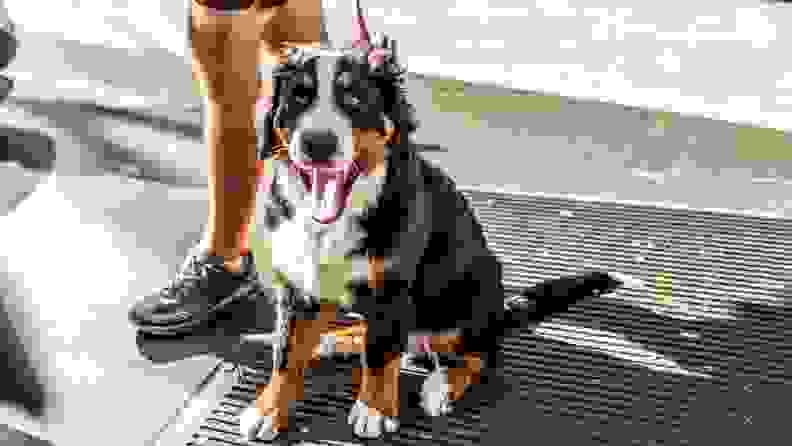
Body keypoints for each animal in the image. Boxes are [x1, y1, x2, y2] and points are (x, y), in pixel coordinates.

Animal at [240, 0, 636, 440]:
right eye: (299, 97)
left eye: (354, 99)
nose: (318, 143)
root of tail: (499, 309)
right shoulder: (299, 285)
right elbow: (286, 354)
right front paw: (270, 409)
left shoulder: (392, 289)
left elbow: (381, 356)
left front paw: (374, 408)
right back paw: (337, 340)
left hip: (471, 292)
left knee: (479, 354)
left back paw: (440, 386)